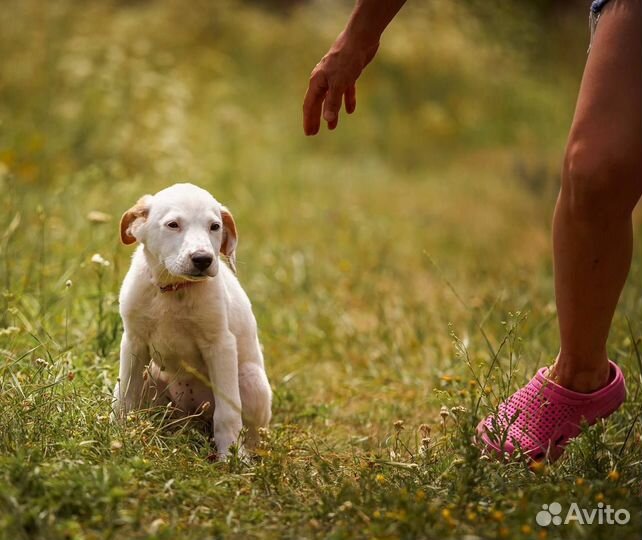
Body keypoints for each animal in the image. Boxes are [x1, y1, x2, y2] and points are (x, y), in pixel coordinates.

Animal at [112, 184, 270, 458]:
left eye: (214, 226)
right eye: (173, 225)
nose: (203, 259)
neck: (173, 289)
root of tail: (190, 419)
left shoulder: (221, 345)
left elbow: (227, 414)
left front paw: (230, 458)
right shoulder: (133, 342)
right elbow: (125, 397)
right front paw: (117, 436)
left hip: (251, 379)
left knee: (248, 432)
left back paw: (244, 454)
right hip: (152, 379)